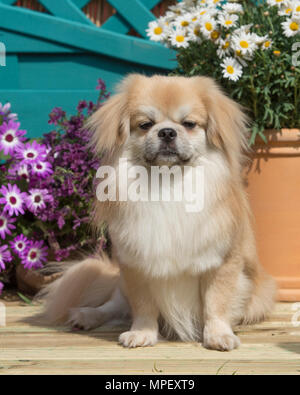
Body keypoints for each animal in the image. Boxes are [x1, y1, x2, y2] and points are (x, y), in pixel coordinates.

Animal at [35, 75, 276, 352]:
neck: (167, 183)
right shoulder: (136, 267)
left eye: (189, 124)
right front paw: (142, 333)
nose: (167, 131)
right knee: (114, 305)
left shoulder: (222, 262)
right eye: (145, 124)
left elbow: (216, 303)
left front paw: (218, 335)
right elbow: (144, 307)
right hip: (121, 284)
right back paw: (87, 315)